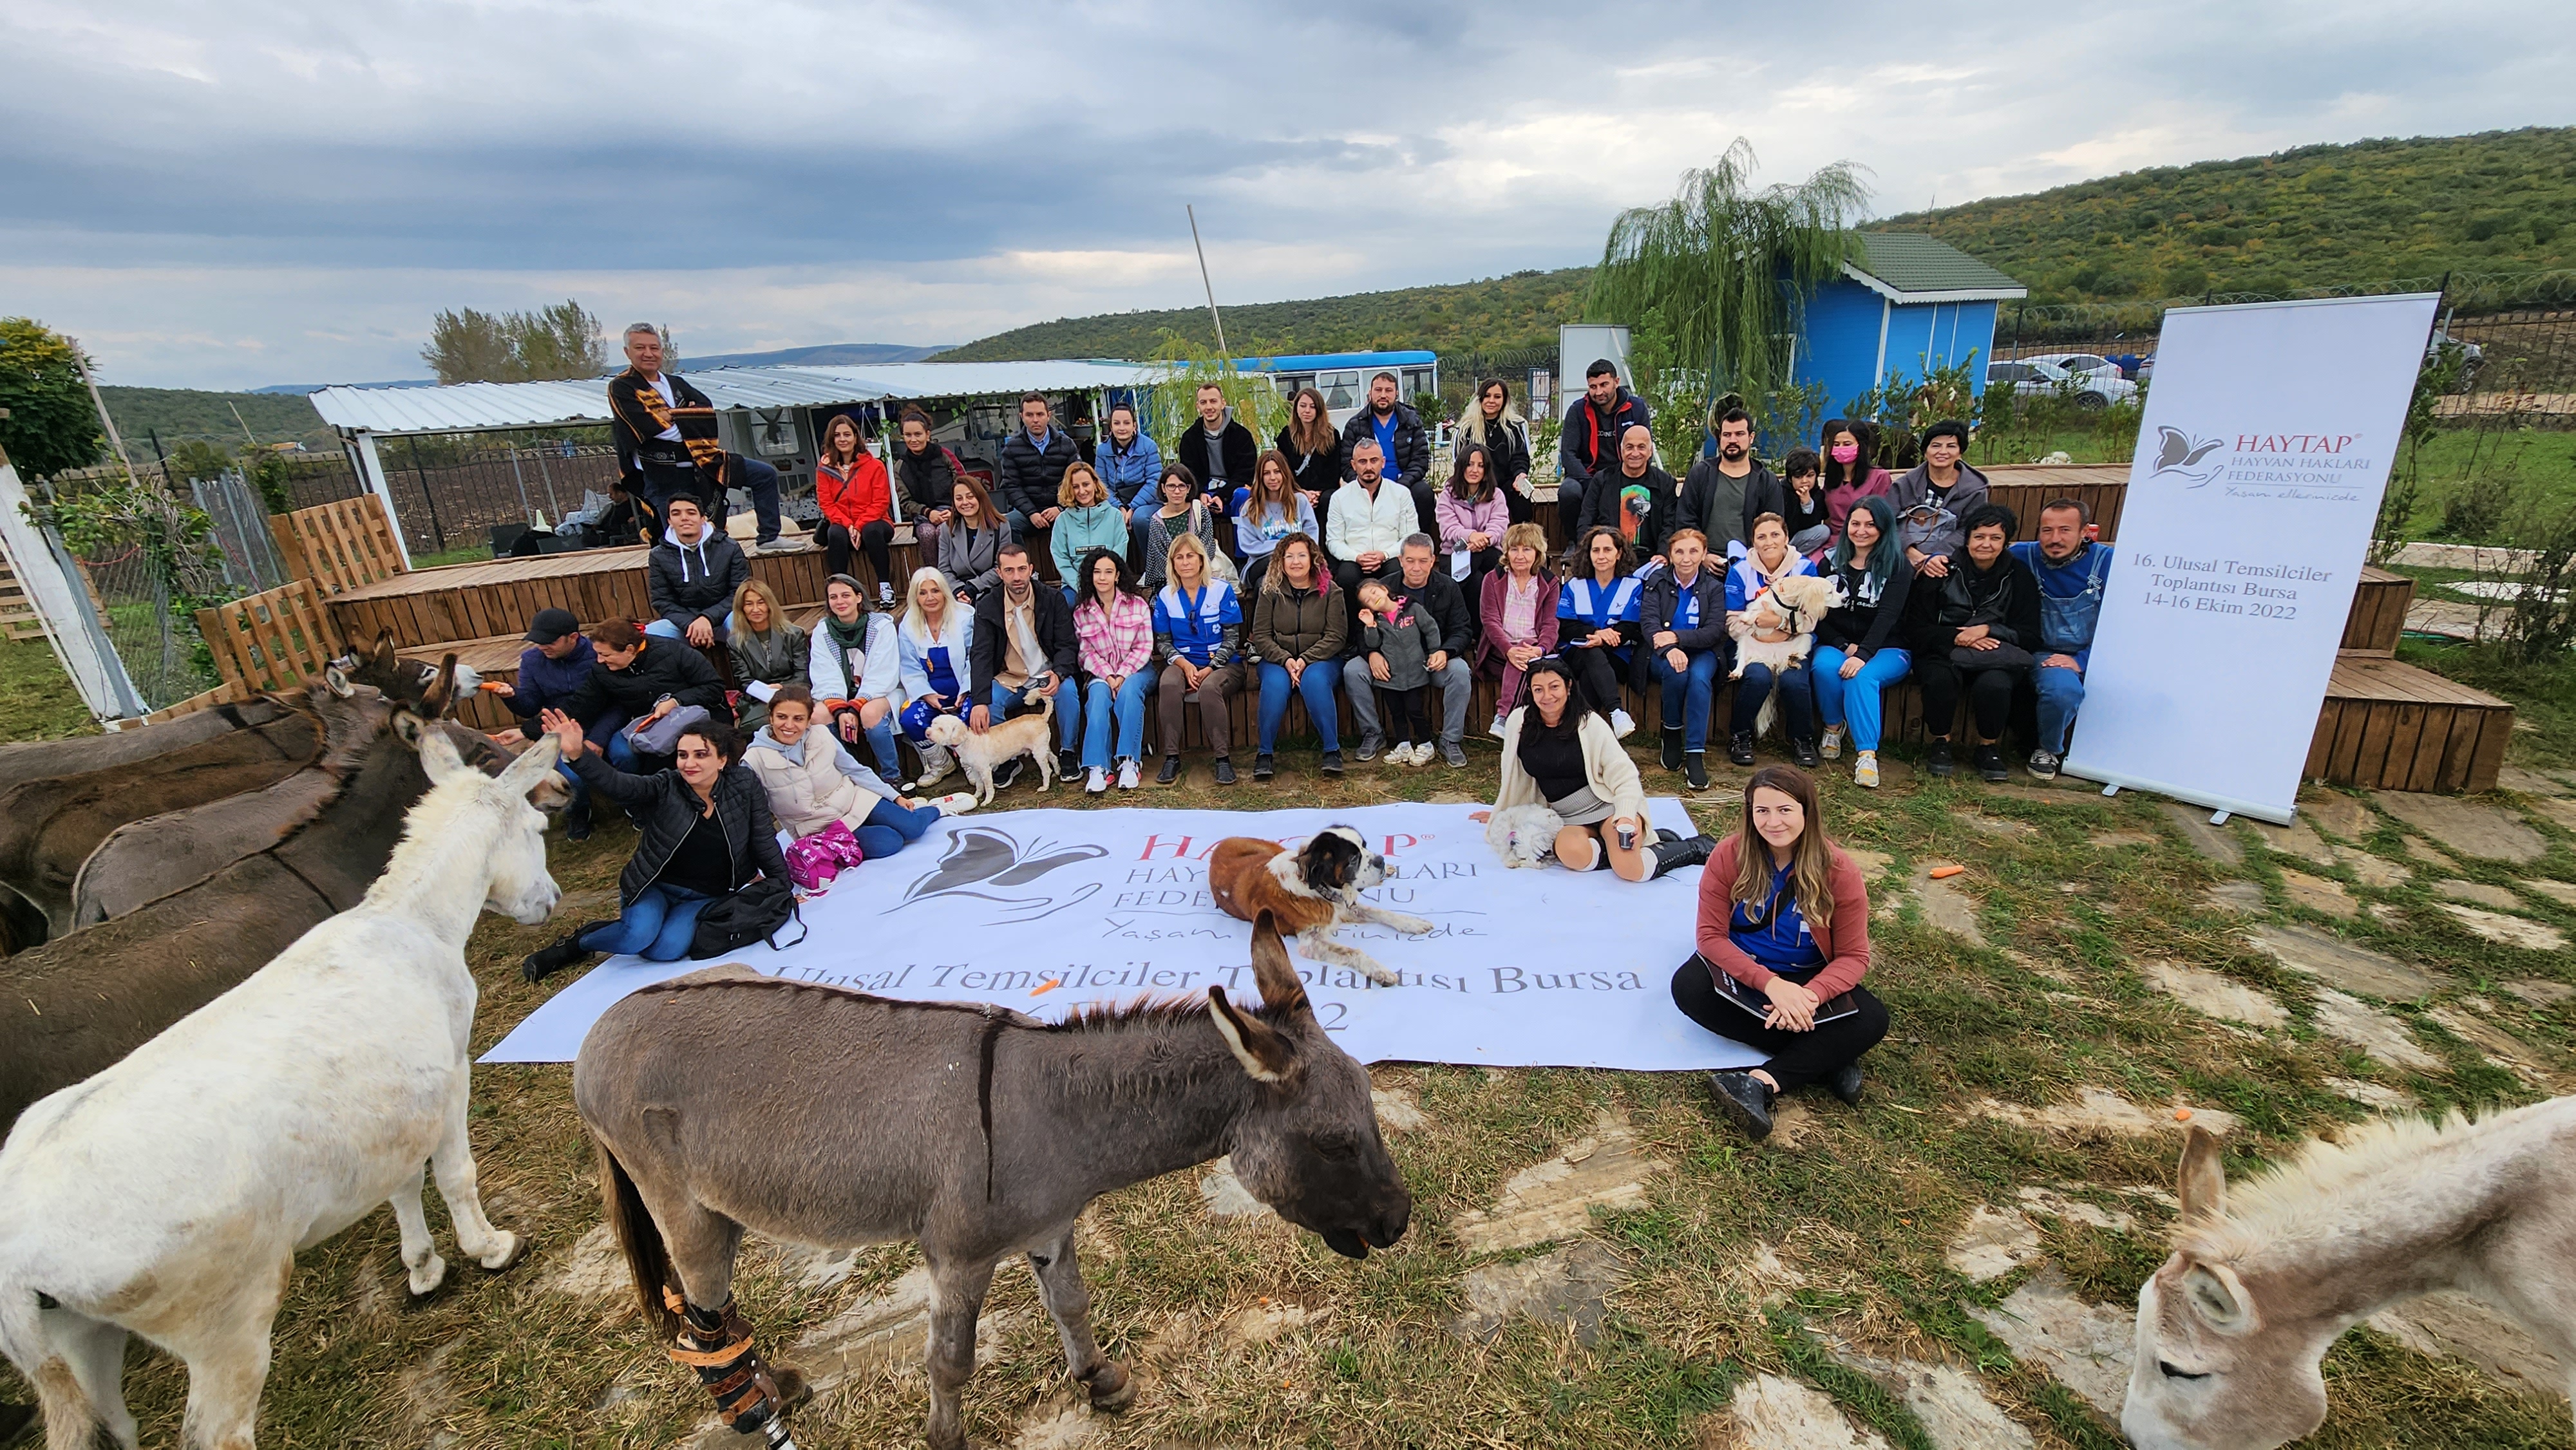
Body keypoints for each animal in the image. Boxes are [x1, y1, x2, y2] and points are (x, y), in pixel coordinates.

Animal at [927, 695, 1056, 804]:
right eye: (933, 724)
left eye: (941, 729)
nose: (927, 733)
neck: (967, 740)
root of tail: (1041, 717)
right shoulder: (975, 770)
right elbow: (979, 786)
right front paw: (976, 796)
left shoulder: (985, 770)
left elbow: (988, 787)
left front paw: (987, 801)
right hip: (1044, 748)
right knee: (1054, 759)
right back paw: (1057, 773)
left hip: (1039, 753)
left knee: (1046, 770)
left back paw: (1045, 786)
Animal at [1206, 829, 1432, 989]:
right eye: (1353, 859)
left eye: (1364, 846)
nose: (1380, 860)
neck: (1315, 886)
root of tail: (1223, 843)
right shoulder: (1311, 941)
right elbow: (1353, 951)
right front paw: (1379, 971)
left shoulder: (1344, 908)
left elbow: (1382, 913)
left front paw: (1413, 923)